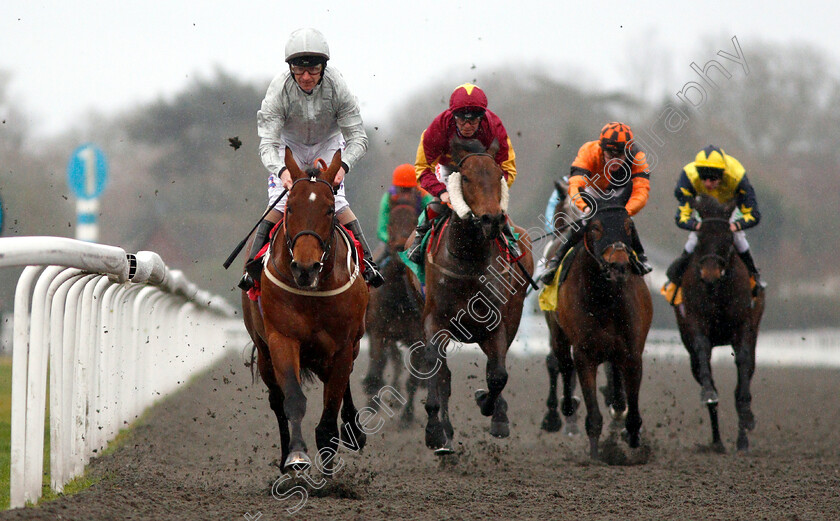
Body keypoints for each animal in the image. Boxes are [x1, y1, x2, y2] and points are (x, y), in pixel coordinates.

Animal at [238, 147, 366, 472]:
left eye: (330, 210)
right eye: (291, 208)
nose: (305, 268)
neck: (313, 292)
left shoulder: (343, 346)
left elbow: (331, 406)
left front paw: (331, 455)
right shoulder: (282, 339)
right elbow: (293, 399)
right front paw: (297, 455)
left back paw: (354, 430)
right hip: (265, 351)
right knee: (277, 400)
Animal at [362, 189, 426, 424]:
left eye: (415, 218)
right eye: (391, 217)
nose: (399, 246)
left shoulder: (418, 337)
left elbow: (413, 379)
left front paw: (407, 416)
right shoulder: (379, 330)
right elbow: (378, 366)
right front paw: (371, 405)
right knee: (394, 361)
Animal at [418, 137, 532, 450]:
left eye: (498, 175)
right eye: (466, 177)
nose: (491, 218)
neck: (468, 260)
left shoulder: (495, 325)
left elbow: (498, 375)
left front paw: (490, 407)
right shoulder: (435, 322)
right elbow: (435, 369)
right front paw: (435, 430)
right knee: (444, 375)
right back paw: (445, 429)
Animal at [540, 203, 652, 460]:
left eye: (628, 226)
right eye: (595, 228)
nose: (619, 266)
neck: (605, 298)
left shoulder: (632, 352)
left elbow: (632, 407)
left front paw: (632, 436)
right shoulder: (585, 355)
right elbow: (592, 412)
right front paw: (595, 454)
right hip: (558, 333)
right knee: (561, 363)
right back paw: (565, 408)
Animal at [676, 195, 768, 450]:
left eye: (727, 239)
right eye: (700, 238)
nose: (710, 275)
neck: (717, 291)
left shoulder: (743, 326)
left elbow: (743, 366)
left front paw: (747, 416)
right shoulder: (695, 322)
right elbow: (703, 352)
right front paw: (708, 392)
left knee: (746, 371)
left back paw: (742, 438)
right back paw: (717, 441)